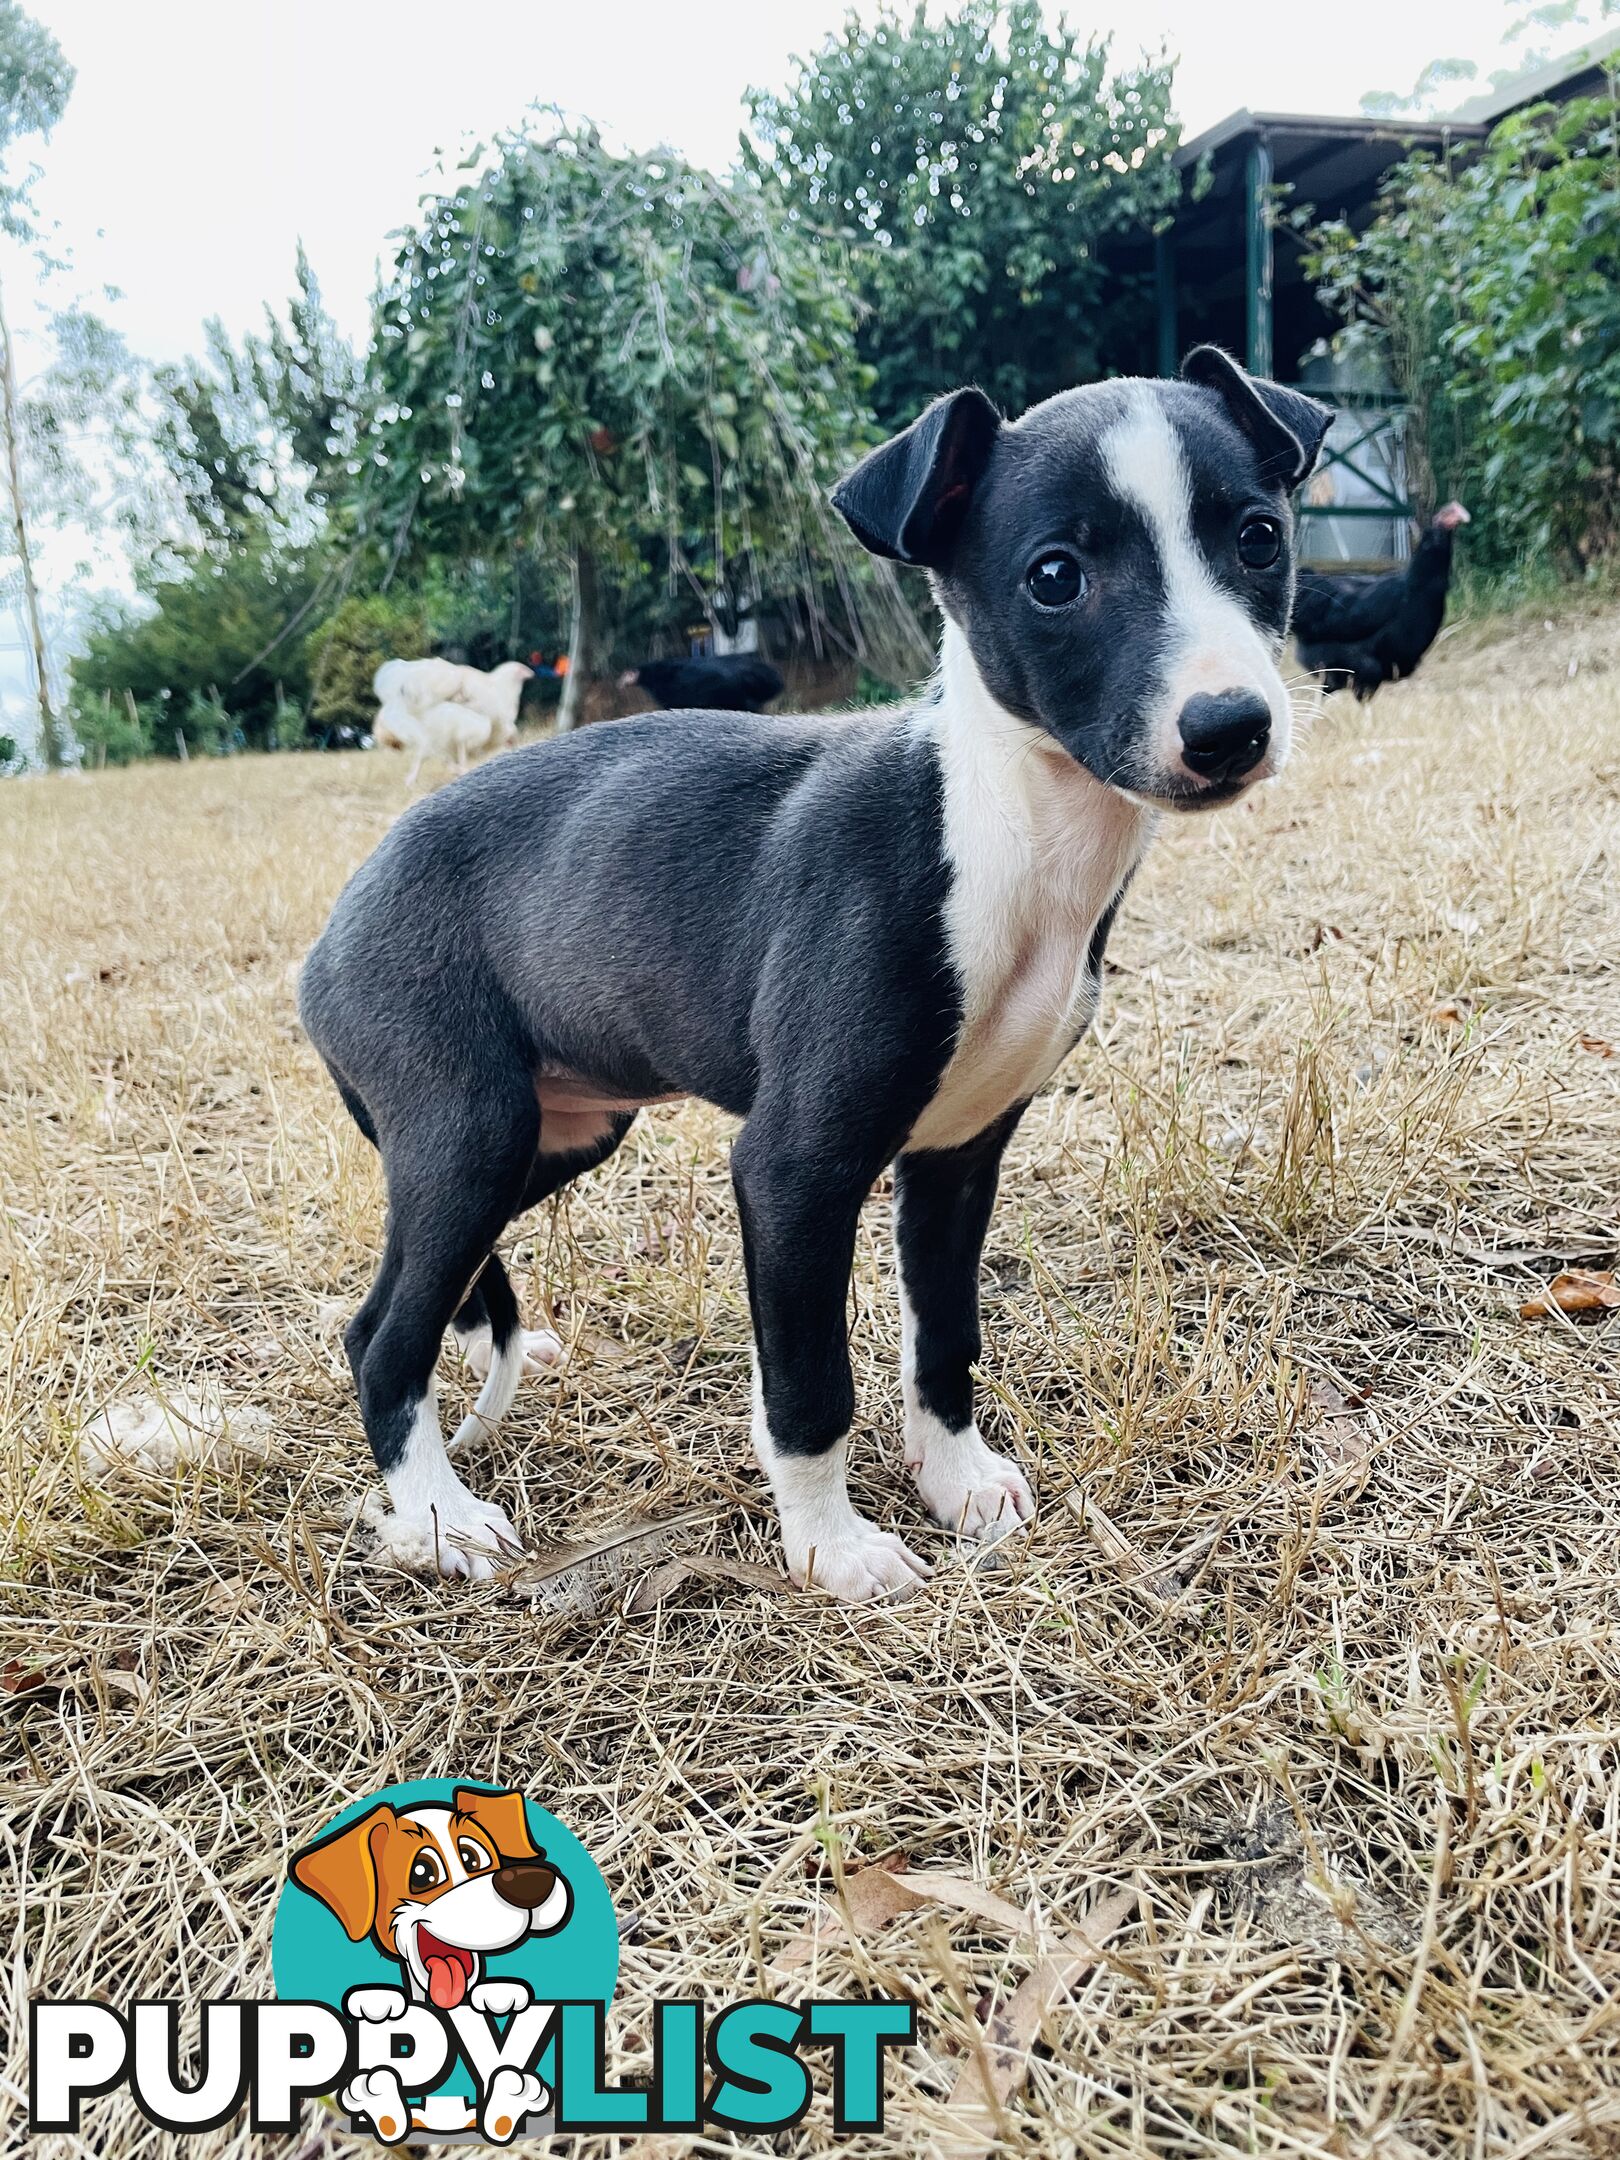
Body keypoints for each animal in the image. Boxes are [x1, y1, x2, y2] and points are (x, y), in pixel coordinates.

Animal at [302, 349, 1330, 1607]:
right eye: (1055, 577)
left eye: (1259, 536)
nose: (1230, 725)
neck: (1002, 829)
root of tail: (337, 920)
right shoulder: (793, 1169)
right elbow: (808, 1386)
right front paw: (831, 1549)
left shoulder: (959, 1157)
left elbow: (944, 1340)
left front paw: (957, 1482)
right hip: (471, 1134)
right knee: (382, 1340)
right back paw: (443, 1517)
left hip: (557, 1135)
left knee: (406, 1302)